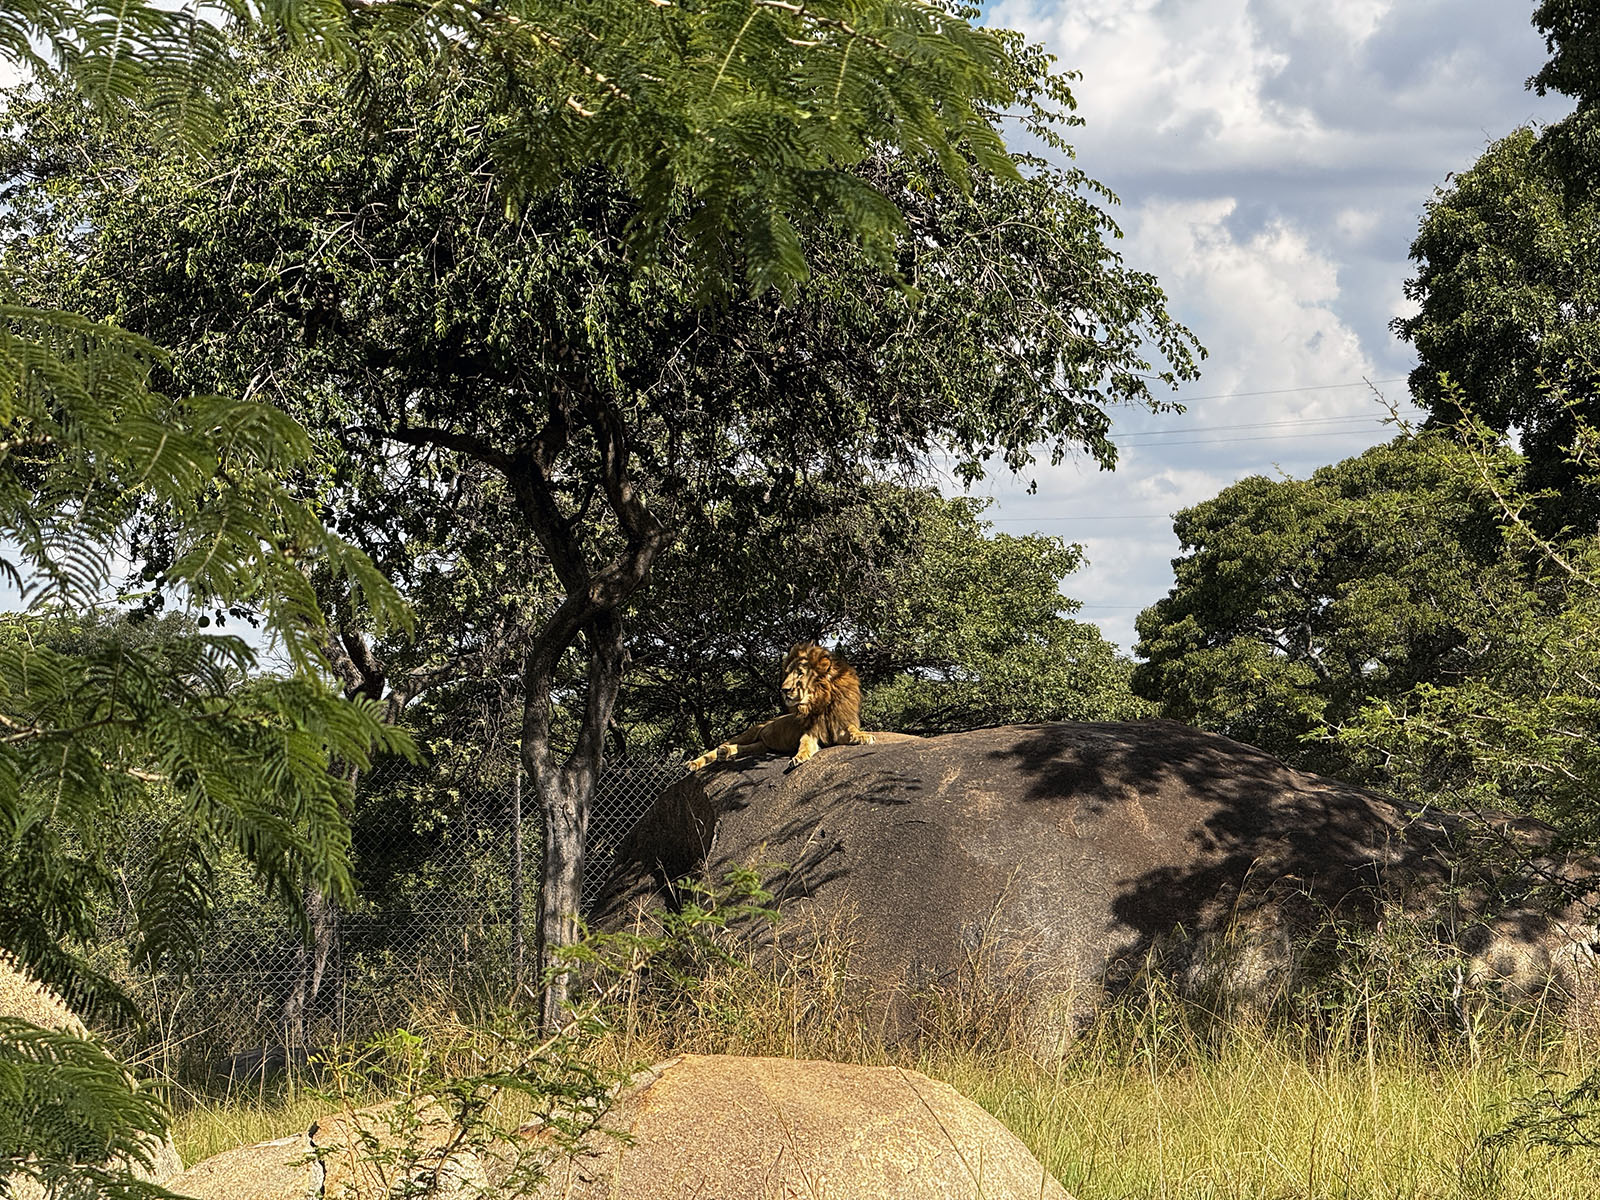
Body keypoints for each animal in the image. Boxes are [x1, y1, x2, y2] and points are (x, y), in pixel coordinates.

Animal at [684, 642, 876, 772]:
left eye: (800, 673)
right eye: (788, 673)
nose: (783, 690)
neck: (821, 702)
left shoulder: (840, 726)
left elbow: (852, 730)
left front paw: (863, 736)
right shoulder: (811, 732)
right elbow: (804, 745)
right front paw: (798, 758)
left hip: (762, 745)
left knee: (743, 749)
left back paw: (725, 753)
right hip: (750, 732)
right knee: (717, 749)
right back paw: (694, 763)